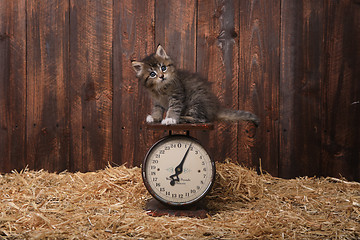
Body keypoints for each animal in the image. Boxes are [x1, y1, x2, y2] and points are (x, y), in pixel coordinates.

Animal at [131, 46, 260, 126]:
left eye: (163, 68)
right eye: (152, 74)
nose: (162, 76)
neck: (161, 88)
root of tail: (215, 108)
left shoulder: (177, 95)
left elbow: (173, 108)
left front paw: (170, 119)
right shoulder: (157, 100)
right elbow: (157, 109)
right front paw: (154, 117)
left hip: (196, 100)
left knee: (202, 119)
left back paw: (182, 118)